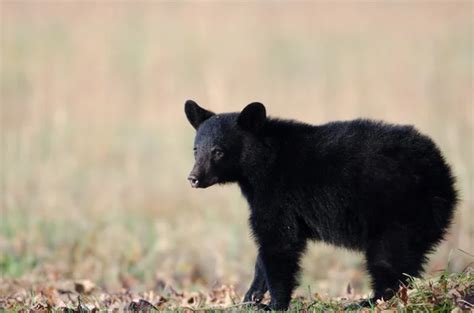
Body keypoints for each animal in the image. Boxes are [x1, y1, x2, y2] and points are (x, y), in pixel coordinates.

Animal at [183, 100, 458, 310]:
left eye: (218, 151)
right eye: (196, 149)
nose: (194, 178)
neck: (260, 166)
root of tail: (443, 175)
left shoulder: (279, 196)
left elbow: (280, 242)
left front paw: (274, 304)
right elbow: (266, 251)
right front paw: (250, 298)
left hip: (398, 212)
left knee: (387, 259)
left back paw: (367, 301)